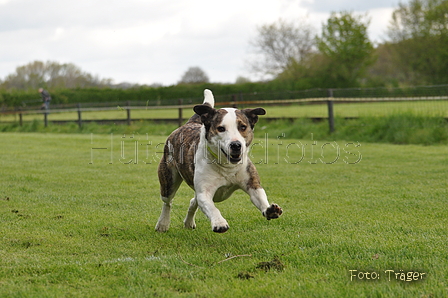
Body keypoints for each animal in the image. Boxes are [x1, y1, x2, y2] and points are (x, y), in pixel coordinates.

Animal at [156, 88, 282, 233]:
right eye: (221, 128)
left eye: (243, 127)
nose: (236, 145)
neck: (227, 166)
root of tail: (188, 124)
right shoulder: (204, 192)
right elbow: (212, 208)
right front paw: (219, 222)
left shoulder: (251, 182)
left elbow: (259, 196)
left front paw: (269, 210)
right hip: (168, 177)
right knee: (167, 202)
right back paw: (163, 224)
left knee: (193, 201)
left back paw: (188, 222)